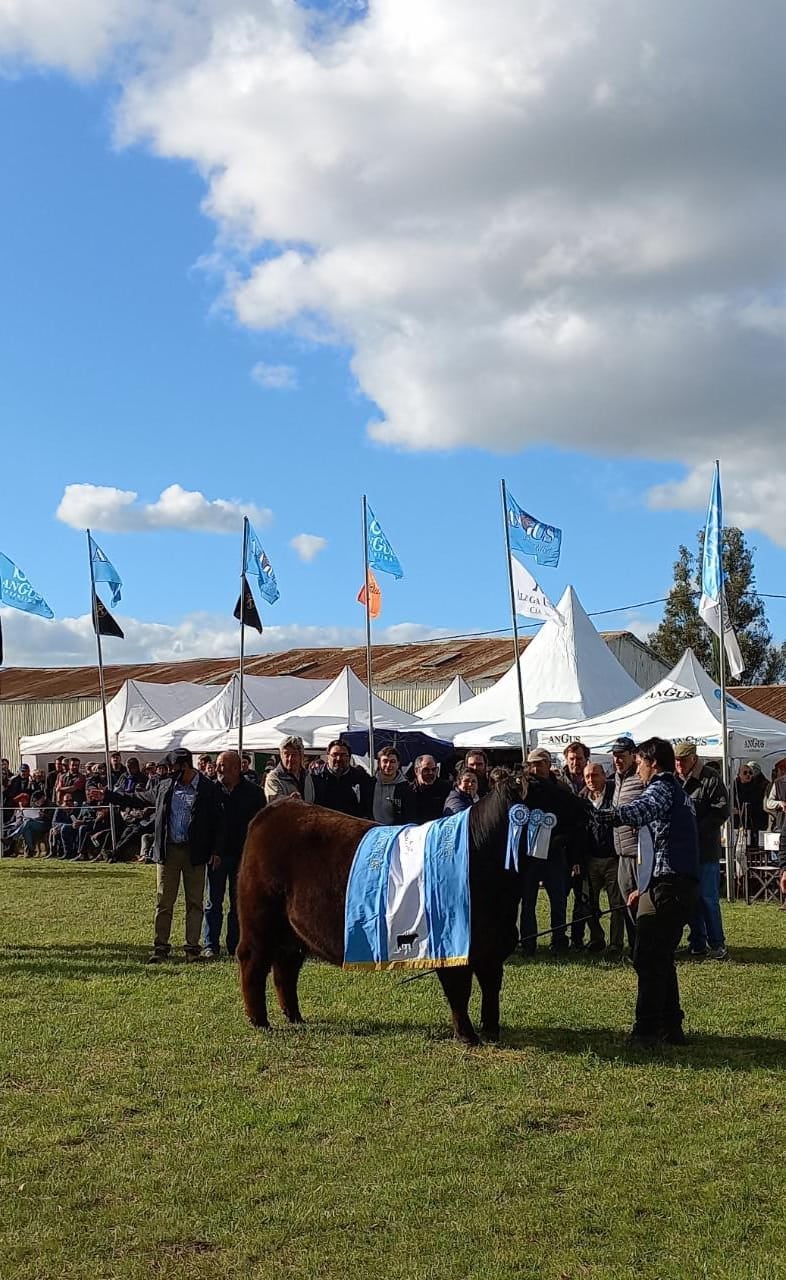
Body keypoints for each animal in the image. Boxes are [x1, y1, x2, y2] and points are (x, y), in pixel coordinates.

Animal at [236, 773, 527, 1044]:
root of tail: (277, 808)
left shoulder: (492, 947)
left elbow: (491, 987)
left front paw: (491, 1030)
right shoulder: (451, 944)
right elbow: (459, 990)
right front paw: (467, 1035)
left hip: (292, 930)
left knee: (286, 966)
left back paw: (294, 1016)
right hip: (259, 917)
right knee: (253, 961)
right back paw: (259, 1021)